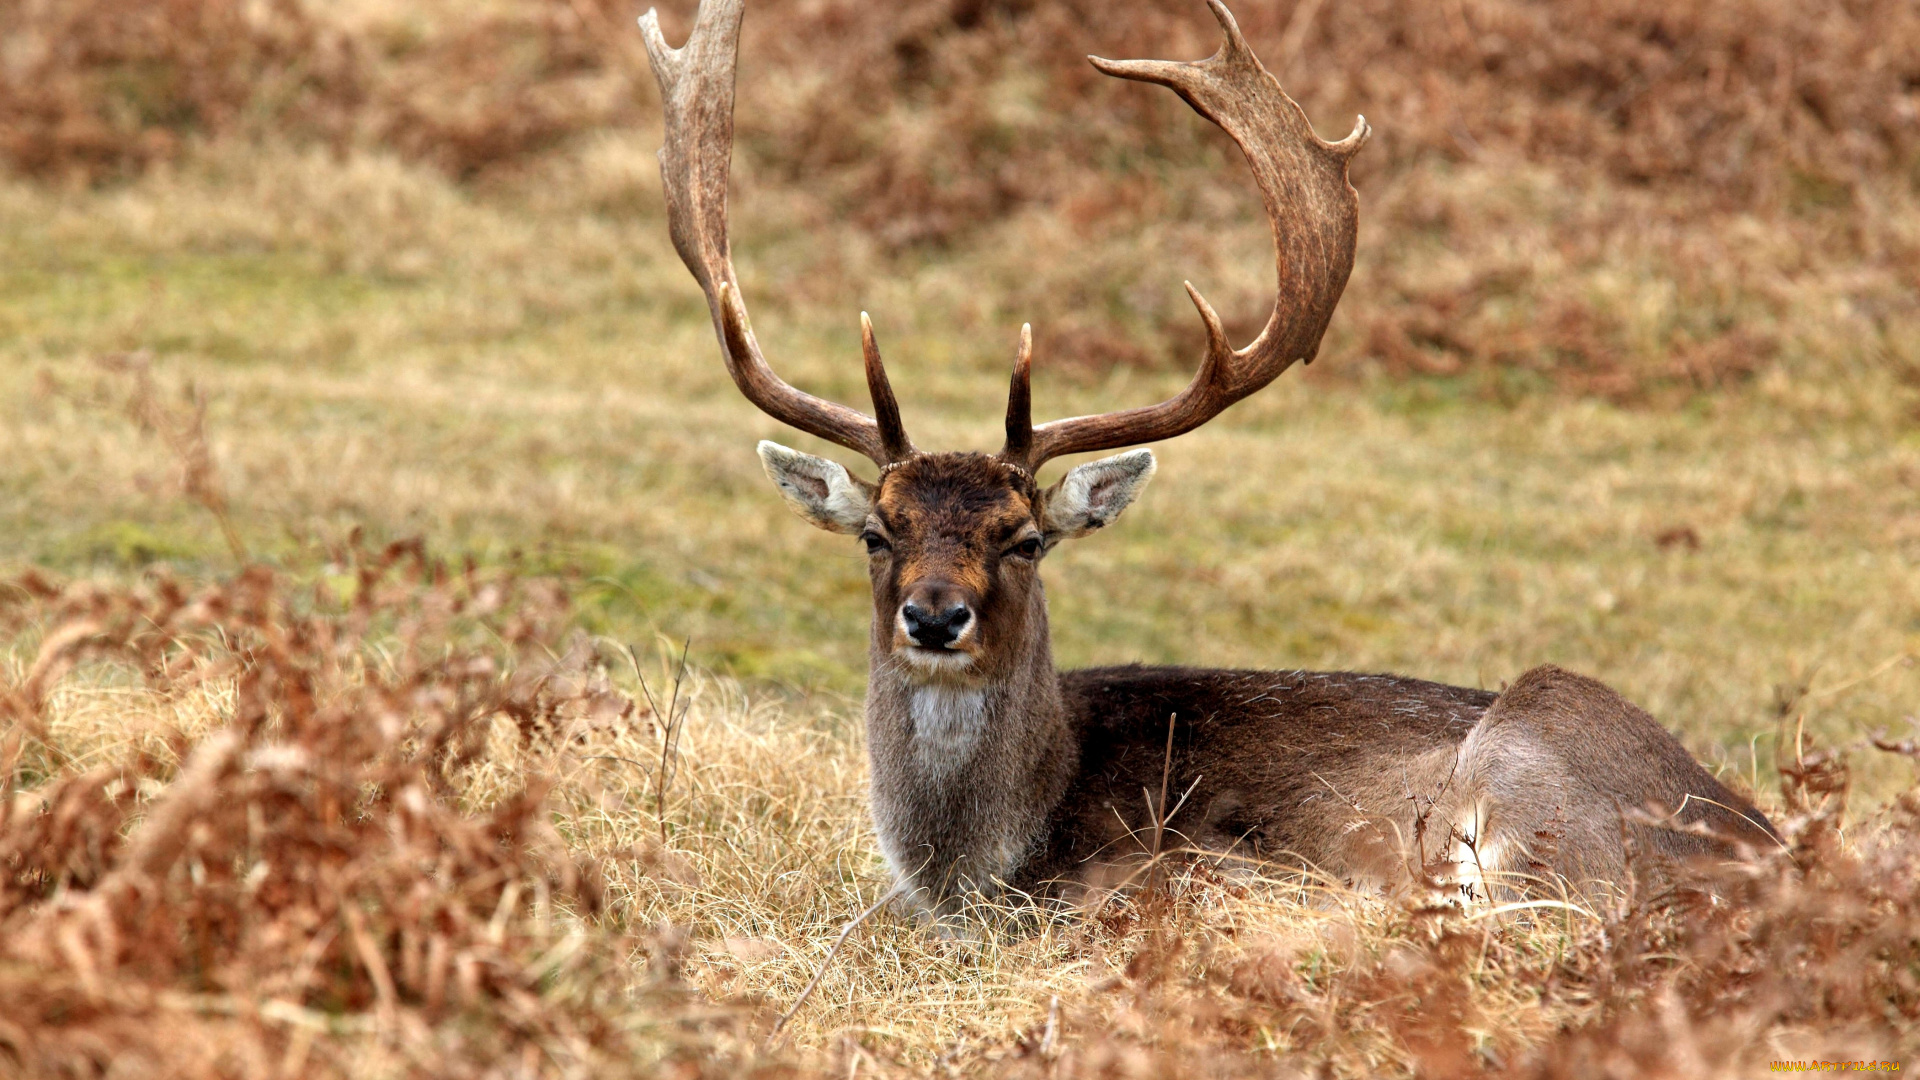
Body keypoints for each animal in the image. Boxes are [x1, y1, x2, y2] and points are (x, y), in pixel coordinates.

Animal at [637, 0, 1774, 914]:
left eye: (1025, 539)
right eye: (878, 532)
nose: (934, 614)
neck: (979, 864)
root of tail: (1766, 854)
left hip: (1533, 758)